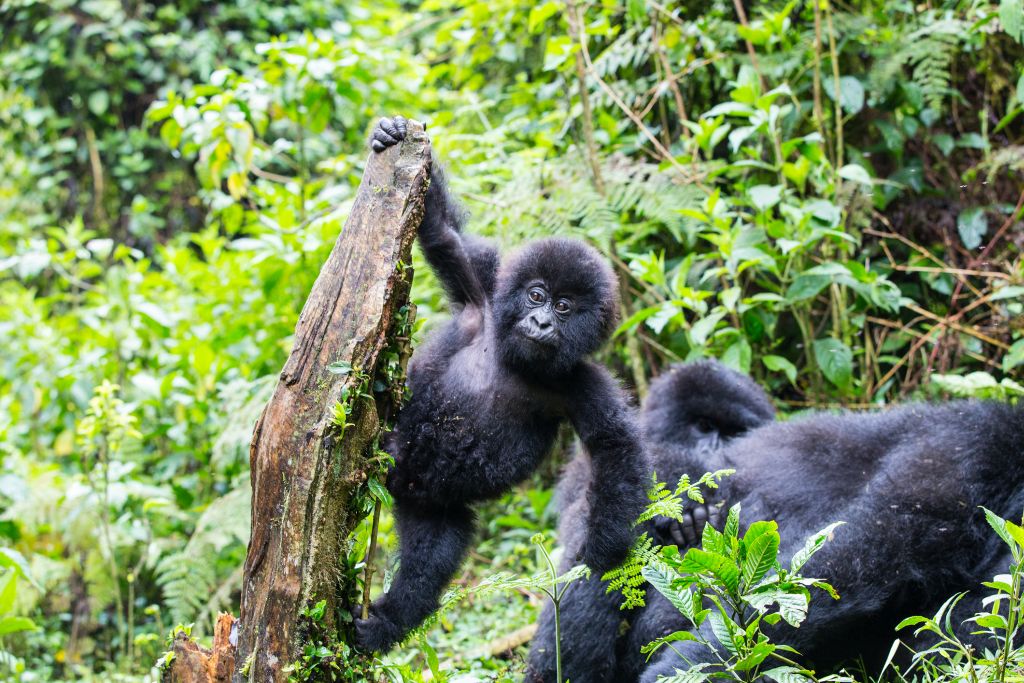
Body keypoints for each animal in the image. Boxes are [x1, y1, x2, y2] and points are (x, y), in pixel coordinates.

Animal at [360, 116, 643, 651]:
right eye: (536, 295)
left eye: (564, 307)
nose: (541, 322)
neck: (518, 358)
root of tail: (401, 483)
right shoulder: (486, 292)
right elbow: (443, 236)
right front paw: (389, 133)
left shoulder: (581, 382)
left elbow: (613, 443)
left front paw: (598, 551)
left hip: (432, 503)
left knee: (430, 562)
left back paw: (386, 620)